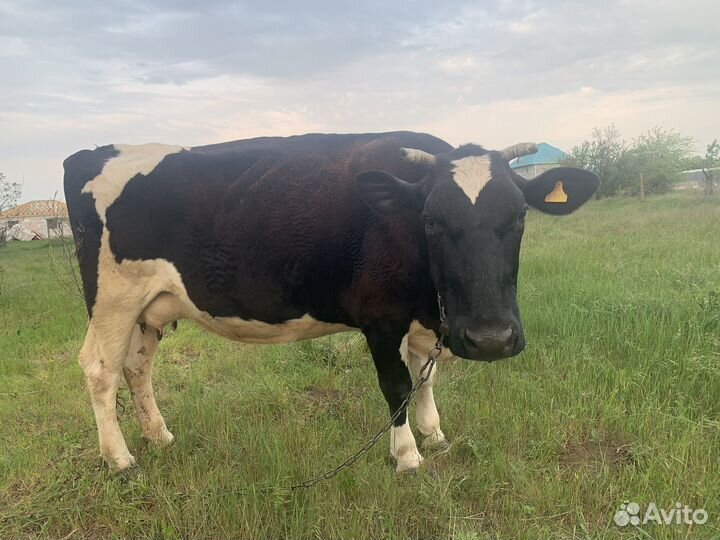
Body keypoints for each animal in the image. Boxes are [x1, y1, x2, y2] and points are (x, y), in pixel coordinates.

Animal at [63, 131, 598, 473]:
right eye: (429, 220)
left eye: (520, 215)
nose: (491, 339)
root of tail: (92, 153)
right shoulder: (381, 317)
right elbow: (397, 385)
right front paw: (407, 455)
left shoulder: (423, 320)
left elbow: (425, 376)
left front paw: (435, 435)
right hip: (113, 299)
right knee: (100, 369)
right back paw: (120, 458)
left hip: (151, 306)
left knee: (137, 367)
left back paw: (159, 436)